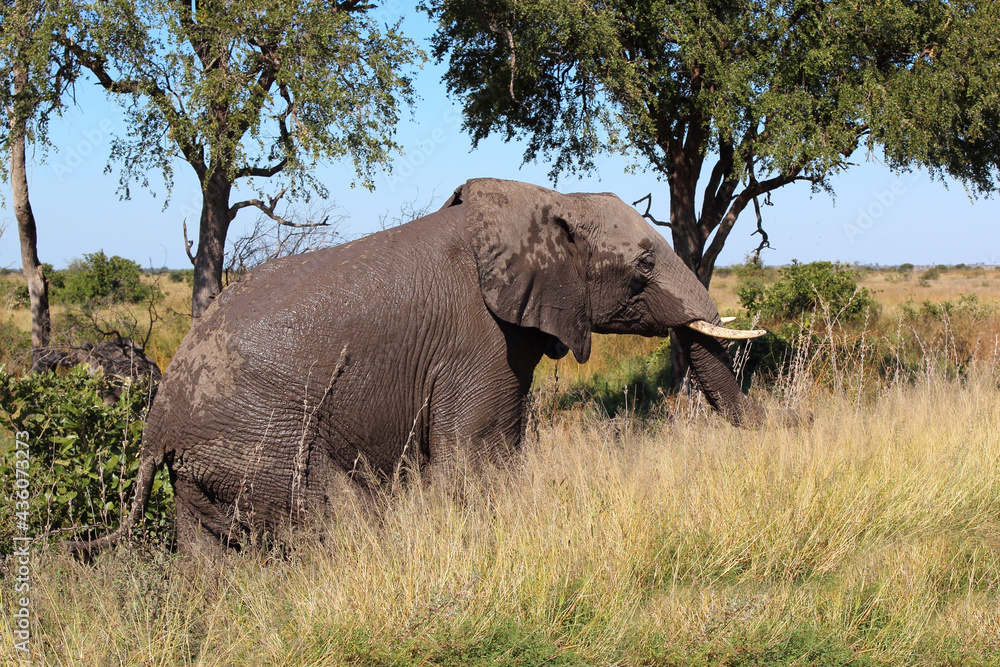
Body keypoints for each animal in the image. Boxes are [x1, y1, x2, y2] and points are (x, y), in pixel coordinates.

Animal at [70, 178, 780, 556]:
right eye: (642, 266)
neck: (545, 201)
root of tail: (156, 426)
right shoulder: (478, 340)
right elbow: (475, 455)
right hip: (257, 442)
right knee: (328, 518)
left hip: (209, 466)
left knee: (211, 557)